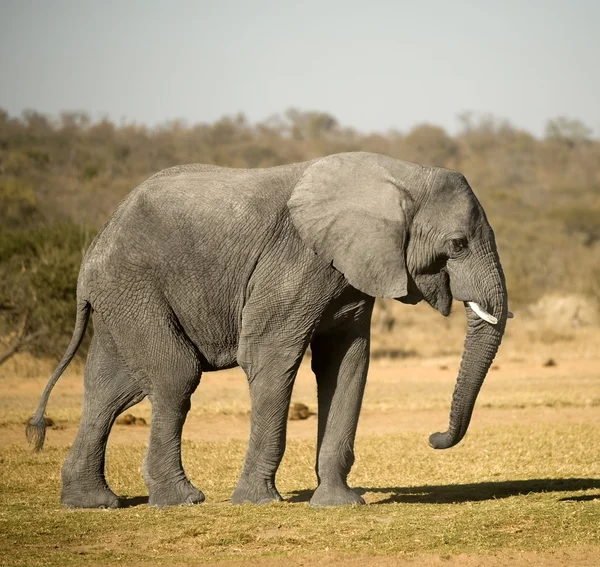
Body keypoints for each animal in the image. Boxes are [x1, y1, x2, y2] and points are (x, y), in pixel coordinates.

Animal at [25, 151, 508, 510]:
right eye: (458, 244)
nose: (434, 438)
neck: (399, 175)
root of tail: (94, 251)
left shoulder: (350, 271)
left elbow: (346, 364)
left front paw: (340, 504)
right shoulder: (296, 260)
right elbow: (270, 358)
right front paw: (258, 502)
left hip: (124, 298)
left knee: (110, 389)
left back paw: (91, 503)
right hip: (133, 285)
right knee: (174, 375)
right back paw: (182, 499)